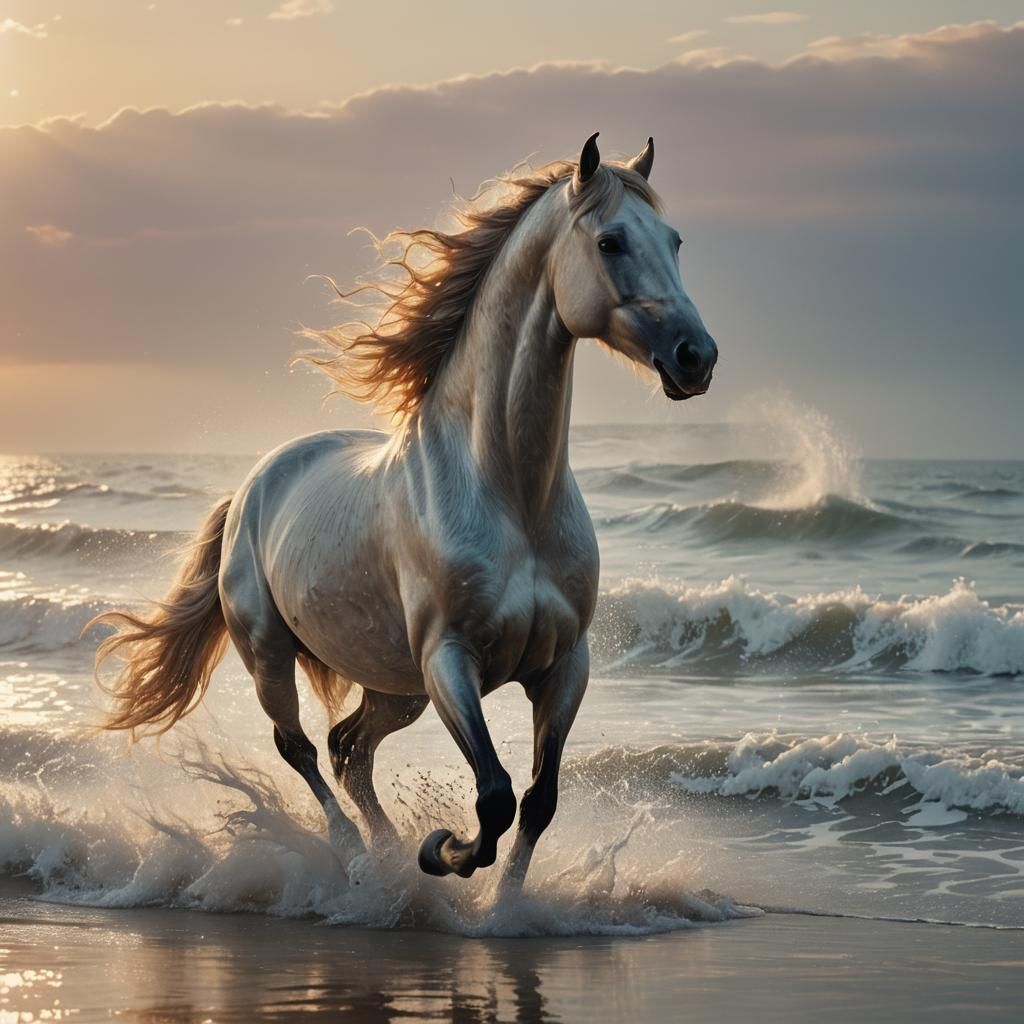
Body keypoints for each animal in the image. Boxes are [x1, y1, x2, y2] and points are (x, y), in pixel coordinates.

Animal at [90, 133, 718, 894]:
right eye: (610, 241)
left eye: (675, 240)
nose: (696, 357)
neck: (510, 497)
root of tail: (250, 488)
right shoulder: (450, 660)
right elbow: (494, 795)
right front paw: (441, 852)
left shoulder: (565, 666)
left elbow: (538, 800)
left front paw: (503, 904)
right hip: (273, 655)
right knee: (301, 747)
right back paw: (359, 856)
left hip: (395, 685)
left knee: (349, 748)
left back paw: (385, 854)